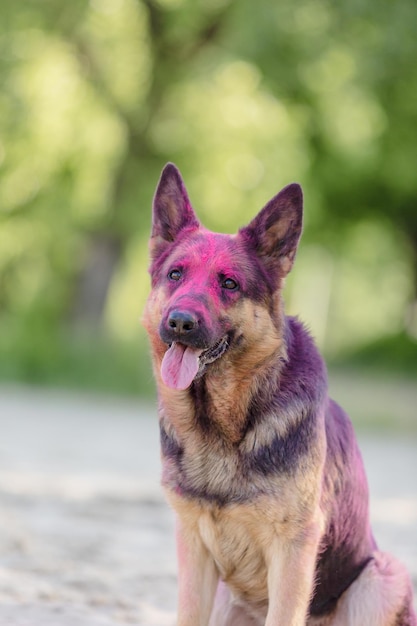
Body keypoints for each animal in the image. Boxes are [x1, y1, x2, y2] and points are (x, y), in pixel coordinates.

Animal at [142, 163, 412, 620]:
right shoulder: (193, 546)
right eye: (175, 275)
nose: (179, 322)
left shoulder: (294, 551)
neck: (223, 424)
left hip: (384, 575)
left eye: (230, 284)